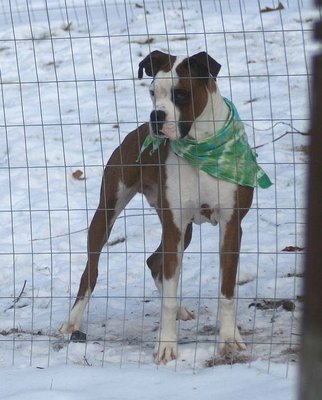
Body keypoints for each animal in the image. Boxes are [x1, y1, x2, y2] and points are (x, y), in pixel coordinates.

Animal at [59, 50, 270, 362]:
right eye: (152, 92)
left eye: (180, 94)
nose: (156, 116)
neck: (201, 147)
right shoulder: (174, 226)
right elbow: (168, 295)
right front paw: (167, 345)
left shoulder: (230, 227)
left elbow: (227, 290)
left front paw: (229, 339)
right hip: (106, 215)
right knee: (92, 272)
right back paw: (72, 321)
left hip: (185, 232)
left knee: (154, 261)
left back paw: (181, 307)